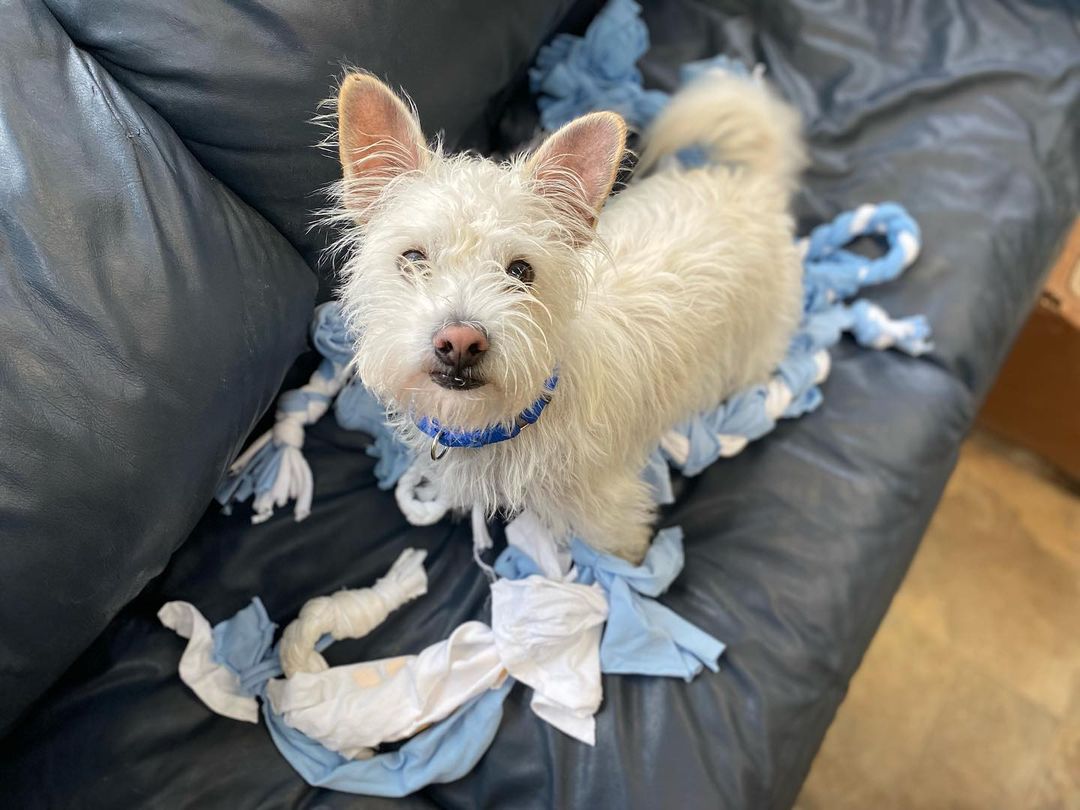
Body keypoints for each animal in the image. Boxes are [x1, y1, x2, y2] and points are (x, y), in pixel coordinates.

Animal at [334, 69, 803, 561]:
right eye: (413, 258)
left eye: (521, 271)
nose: (460, 342)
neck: (514, 417)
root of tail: (755, 190)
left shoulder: (614, 516)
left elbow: (621, 556)